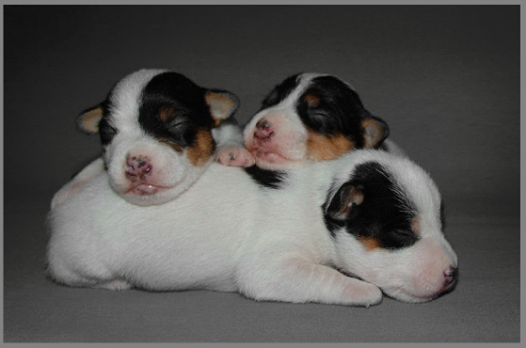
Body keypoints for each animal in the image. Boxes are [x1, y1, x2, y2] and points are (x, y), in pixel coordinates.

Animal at [50, 69, 240, 208]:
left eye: (177, 123)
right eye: (108, 132)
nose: (135, 165)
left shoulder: (228, 128)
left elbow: (232, 134)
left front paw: (232, 150)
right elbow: (97, 163)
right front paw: (71, 186)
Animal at [50, 145, 462, 306]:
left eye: (441, 224)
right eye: (402, 234)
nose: (453, 274)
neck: (320, 200)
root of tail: (62, 211)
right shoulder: (270, 266)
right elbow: (324, 276)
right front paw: (363, 290)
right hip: (81, 263)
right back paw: (116, 282)